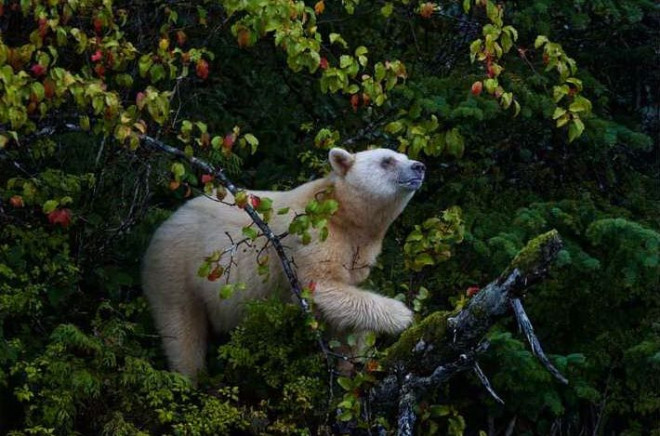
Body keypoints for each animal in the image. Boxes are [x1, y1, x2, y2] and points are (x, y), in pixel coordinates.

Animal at [142, 146, 426, 378]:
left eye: (404, 156)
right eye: (387, 160)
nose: (419, 166)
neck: (342, 213)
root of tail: (162, 227)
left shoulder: (358, 251)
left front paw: (351, 362)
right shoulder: (313, 235)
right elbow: (321, 286)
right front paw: (403, 315)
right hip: (176, 269)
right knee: (182, 331)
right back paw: (191, 378)